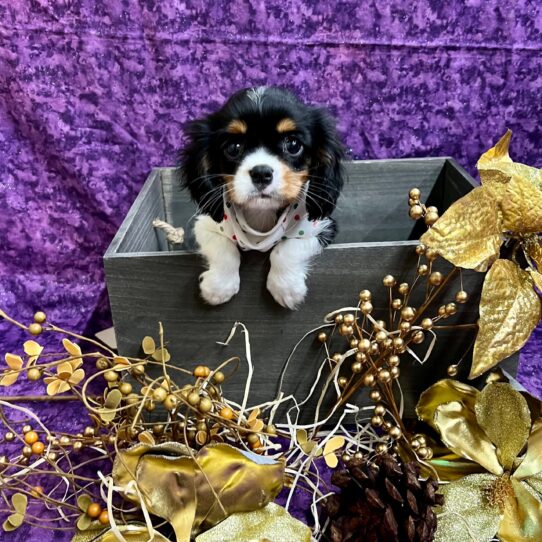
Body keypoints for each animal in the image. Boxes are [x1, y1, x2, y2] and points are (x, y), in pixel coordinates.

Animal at [181, 87, 346, 312]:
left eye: (293, 144)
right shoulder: (205, 225)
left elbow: (287, 248)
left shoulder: (320, 226)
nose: (261, 173)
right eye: (233, 147)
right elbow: (222, 247)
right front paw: (219, 286)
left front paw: (286, 288)